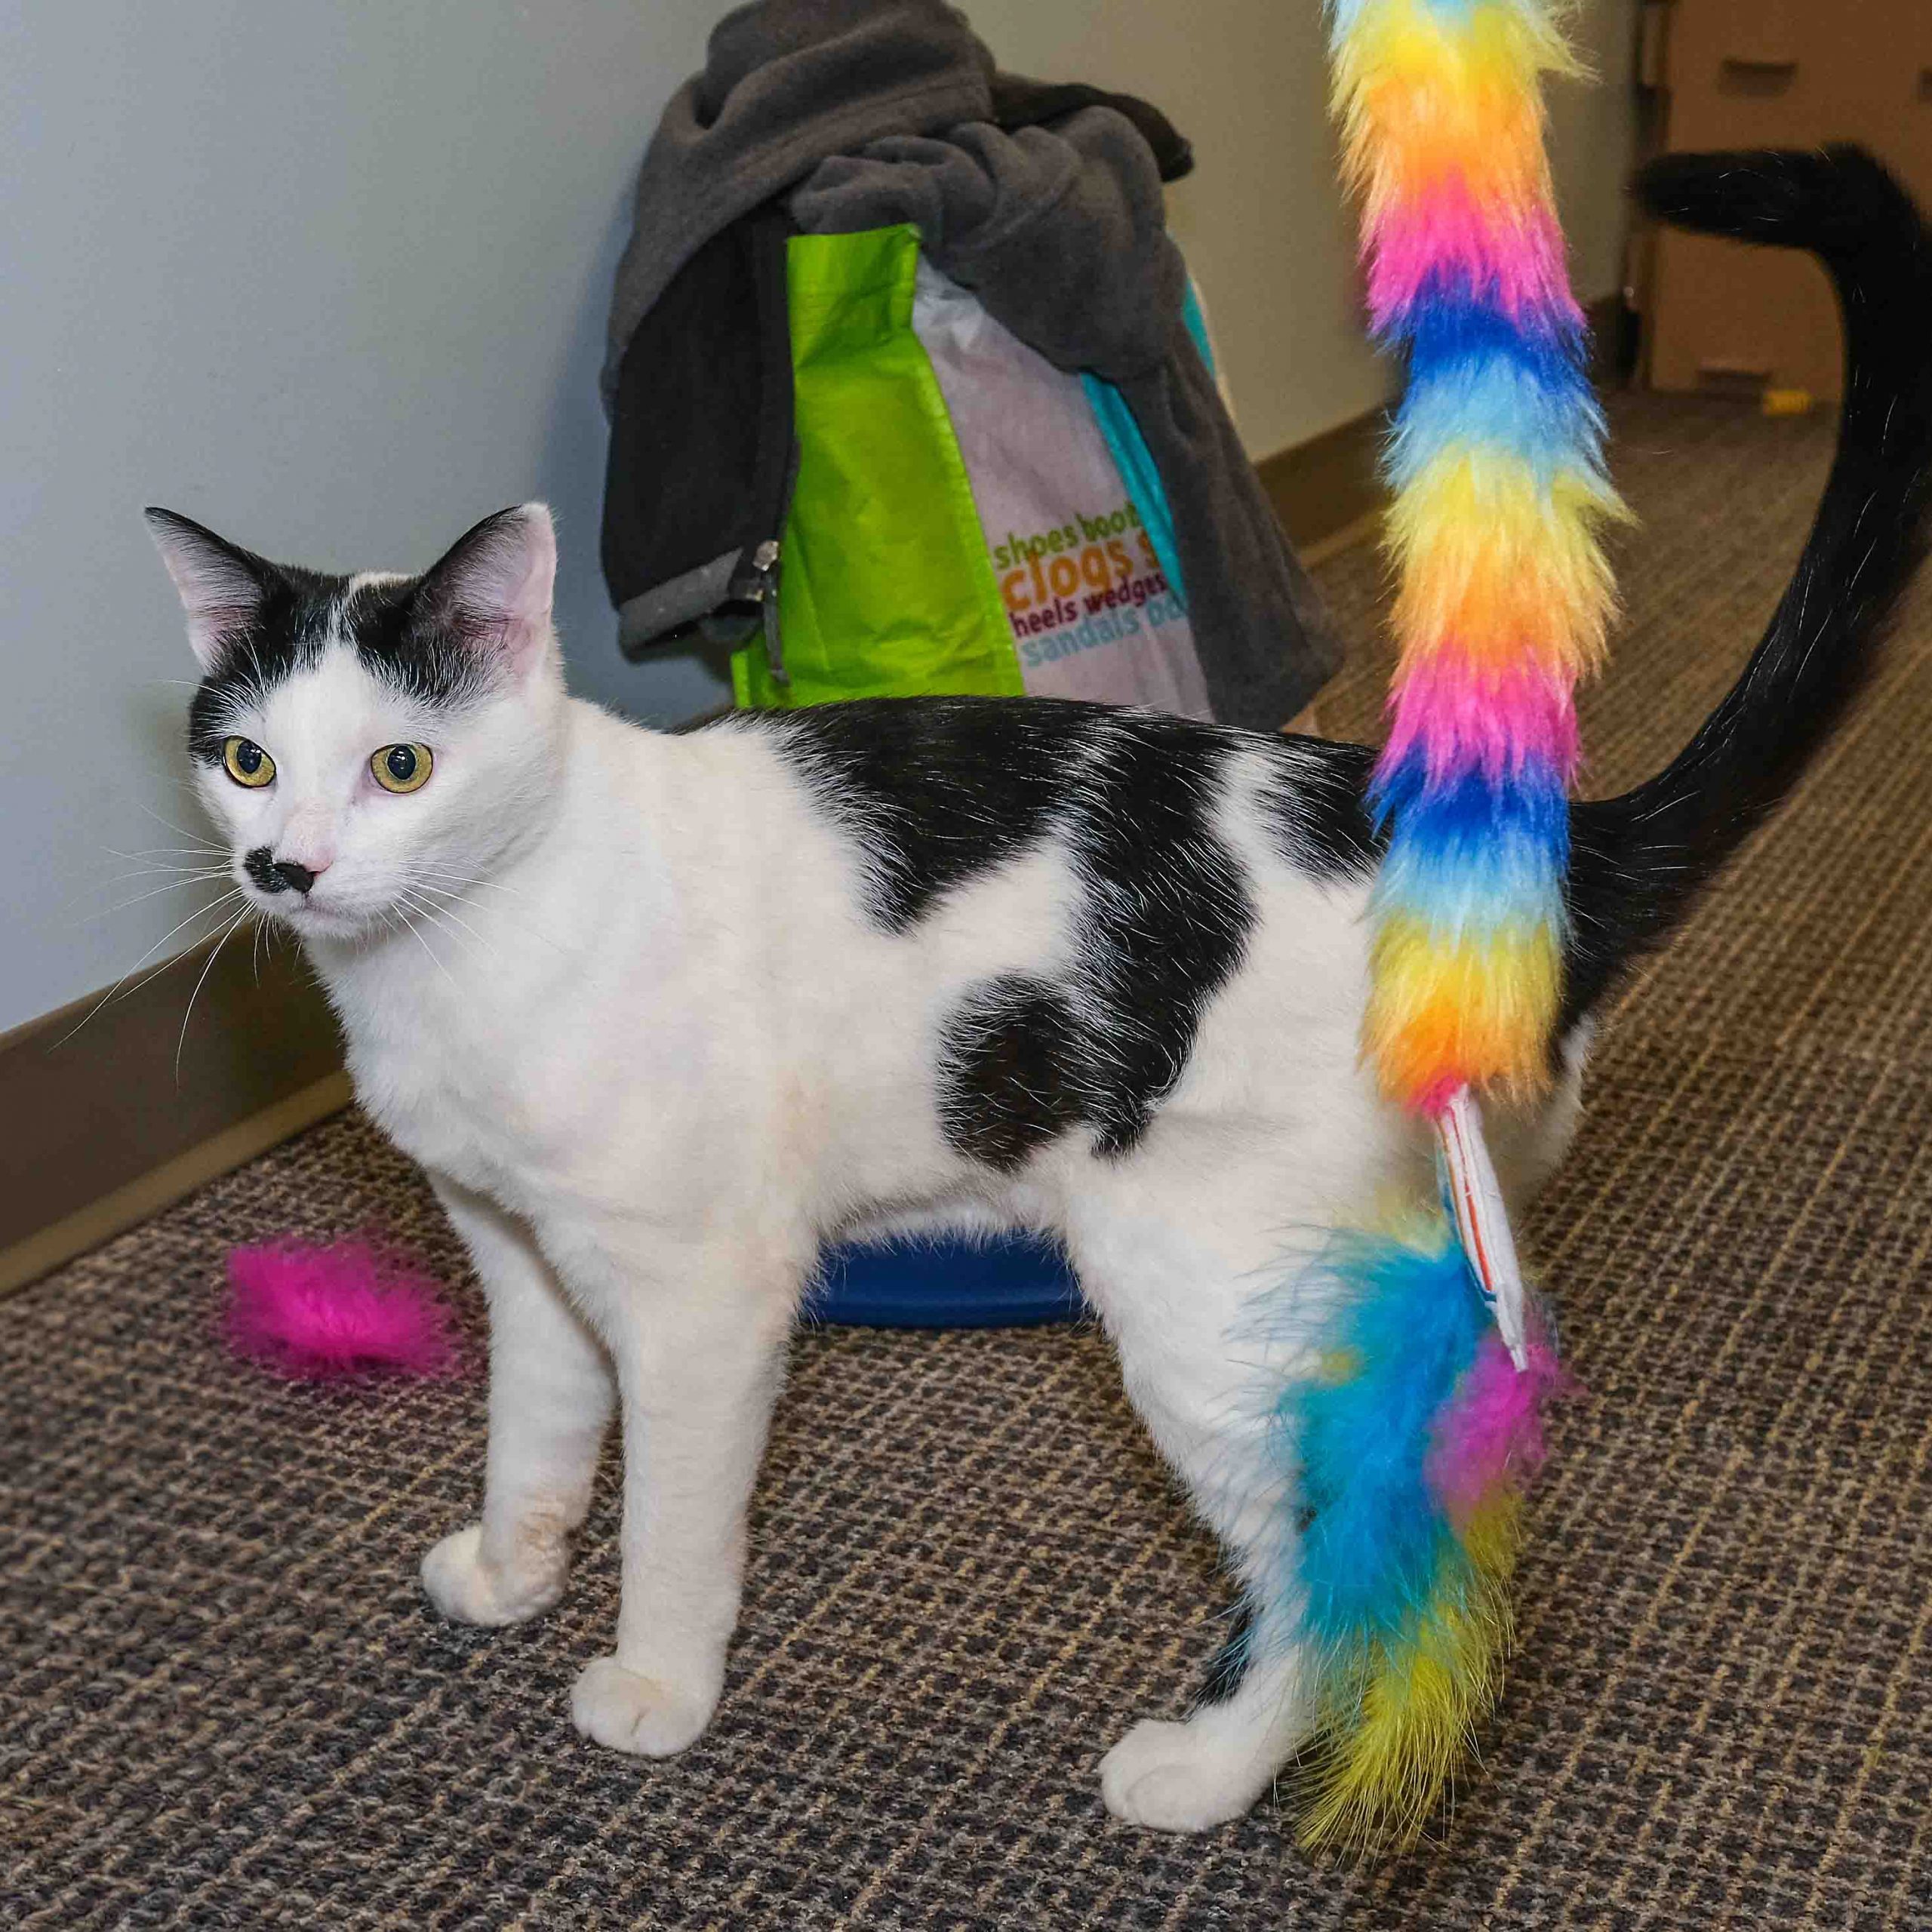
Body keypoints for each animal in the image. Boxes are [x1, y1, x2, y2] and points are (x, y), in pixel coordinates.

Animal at [143, 146, 1924, 1823]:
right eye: (246, 761)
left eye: (400, 765)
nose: (288, 869)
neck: (471, 940)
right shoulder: (520, 1249)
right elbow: (537, 1425)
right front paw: (513, 1569)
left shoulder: (704, 1286)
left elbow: (673, 1514)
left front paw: (656, 1686)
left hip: (1199, 1296)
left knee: (1325, 1559)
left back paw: (1204, 1774)